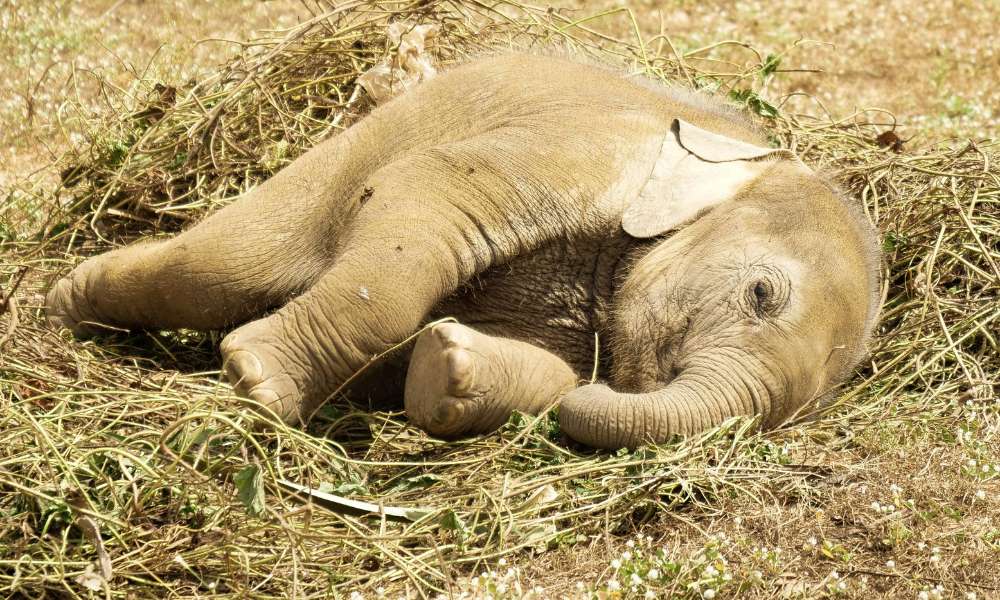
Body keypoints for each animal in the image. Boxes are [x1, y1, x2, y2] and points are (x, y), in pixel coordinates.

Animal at [45, 51, 884, 448]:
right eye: (762, 294)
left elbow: (549, 373)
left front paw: (446, 367)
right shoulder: (576, 149)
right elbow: (426, 190)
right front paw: (256, 379)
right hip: (345, 156)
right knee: (224, 266)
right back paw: (64, 312)